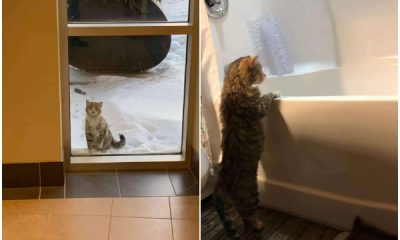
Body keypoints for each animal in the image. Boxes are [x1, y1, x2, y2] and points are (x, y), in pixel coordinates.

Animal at [214, 55, 280, 238]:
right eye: (260, 69)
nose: (266, 74)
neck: (232, 83)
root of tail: (221, 180)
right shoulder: (259, 107)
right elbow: (266, 97)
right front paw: (275, 92)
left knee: (243, 215)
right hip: (251, 194)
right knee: (249, 214)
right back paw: (257, 225)